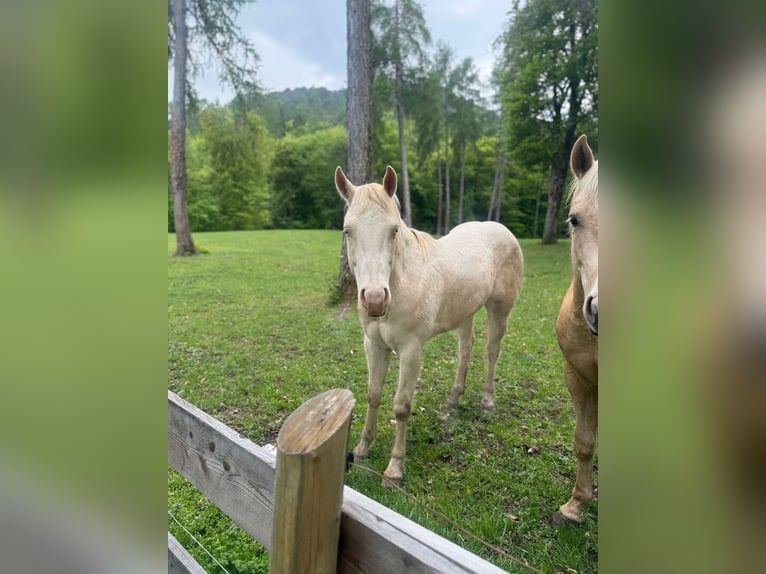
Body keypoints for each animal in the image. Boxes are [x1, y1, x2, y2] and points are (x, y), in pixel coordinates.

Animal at [334, 165, 524, 485]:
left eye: (394, 230)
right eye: (347, 230)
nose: (374, 300)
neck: (402, 281)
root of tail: (502, 230)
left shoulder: (411, 351)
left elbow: (401, 406)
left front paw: (394, 468)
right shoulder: (374, 346)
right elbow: (373, 395)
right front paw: (362, 448)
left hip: (499, 310)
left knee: (491, 351)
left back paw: (487, 402)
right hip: (465, 313)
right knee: (466, 350)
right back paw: (453, 399)